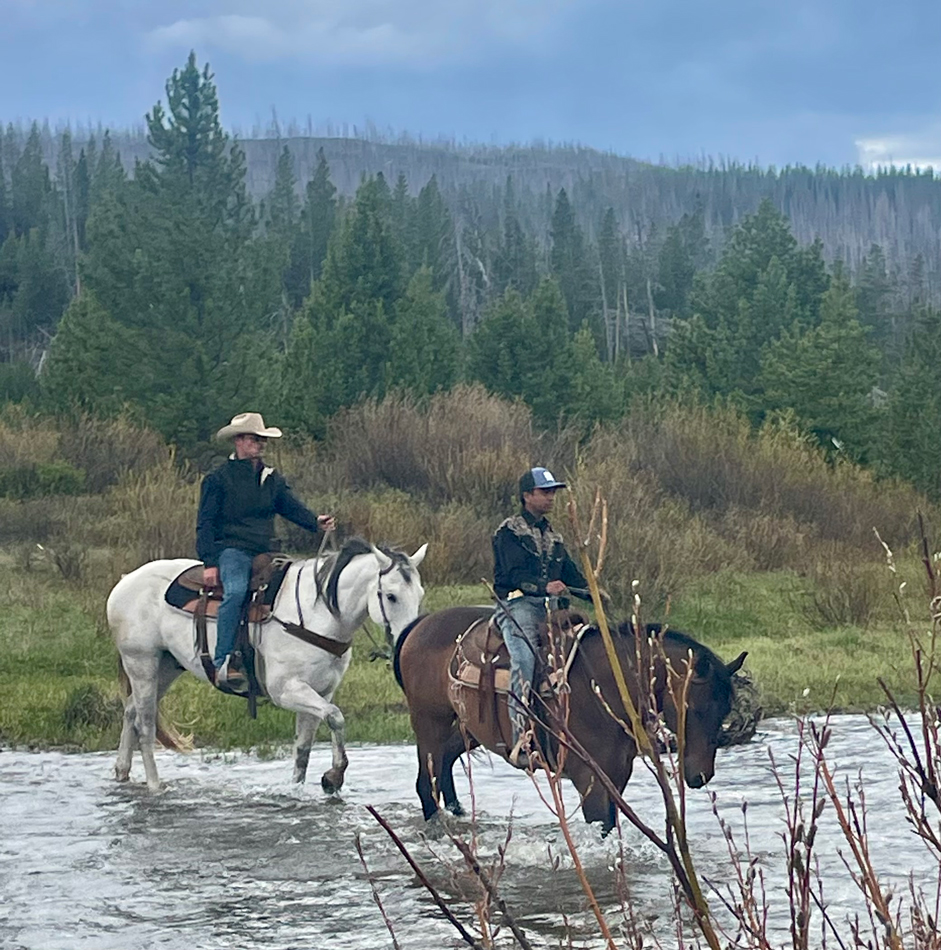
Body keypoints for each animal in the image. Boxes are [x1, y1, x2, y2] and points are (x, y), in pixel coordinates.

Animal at [108, 537, 427, 793]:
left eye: (420, 594)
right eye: (391, 596)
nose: (409, 643)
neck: (315, 614)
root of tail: (124, 581)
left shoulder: (321, 692)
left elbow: (303, 747)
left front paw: (299, 788)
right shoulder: (286, 690)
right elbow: (336, 717)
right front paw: (334, 776)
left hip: (165, 666)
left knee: (131, 712)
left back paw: (122, 774)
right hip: (142, 662)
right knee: (145, 724)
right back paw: (154, 786)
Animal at [394, 606, 746, 834]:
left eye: (724, 711)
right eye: (694, 708)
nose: (701, 775)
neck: (604, 685)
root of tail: (422, 624)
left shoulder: (617, 776)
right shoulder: (590, 780)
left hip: (469, 730)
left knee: (445, 764)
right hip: (430, 724)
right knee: (427, 782)